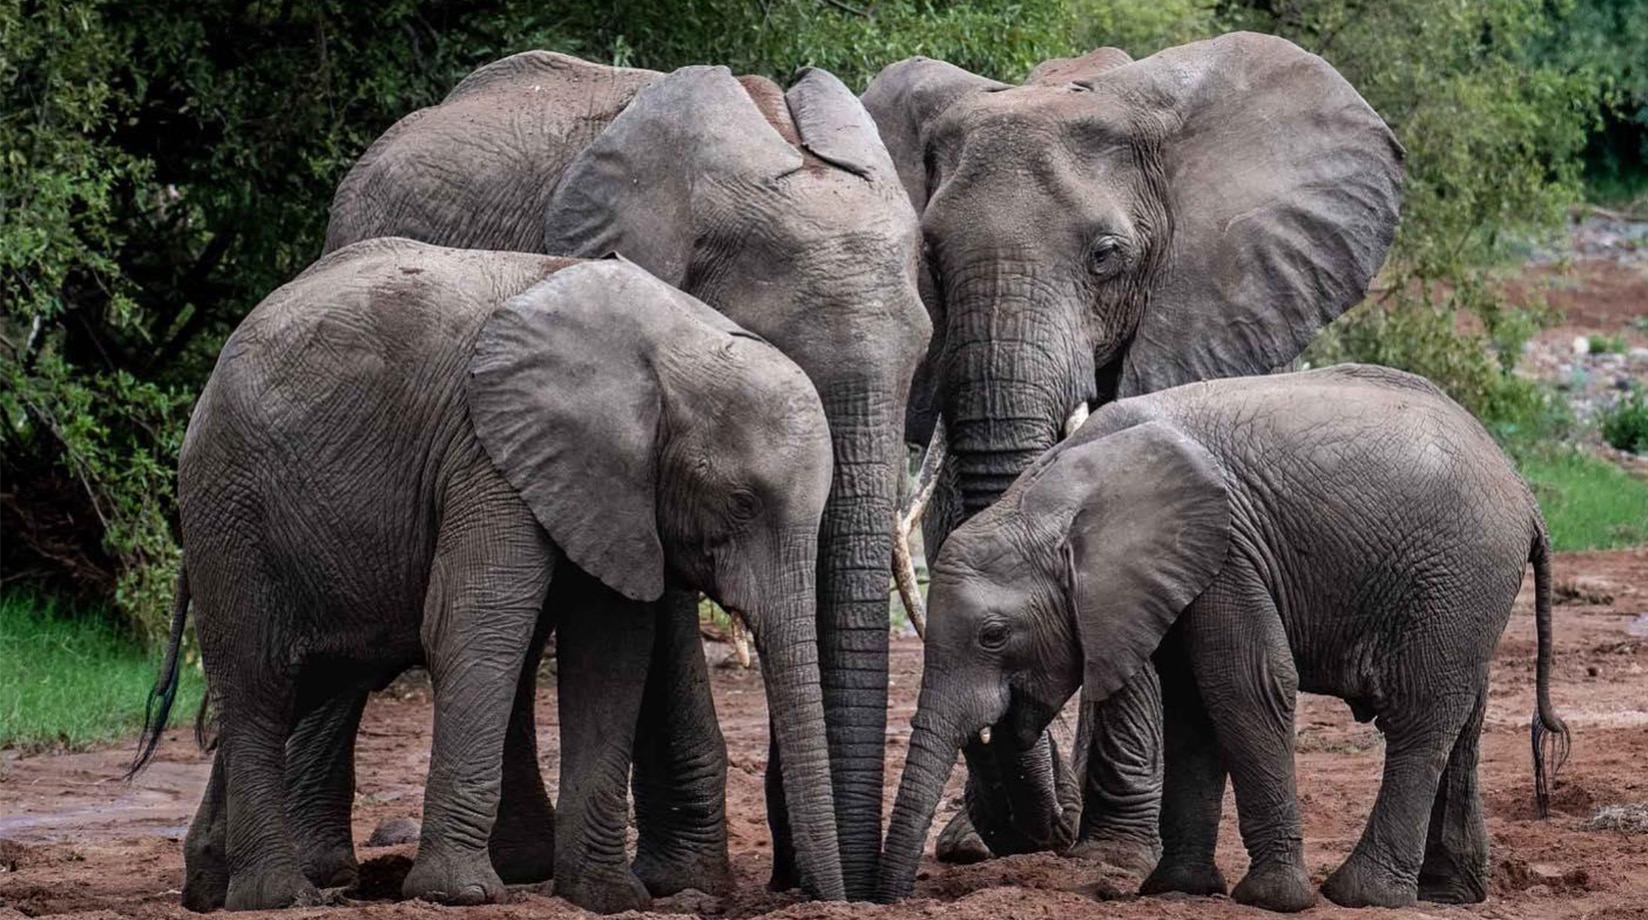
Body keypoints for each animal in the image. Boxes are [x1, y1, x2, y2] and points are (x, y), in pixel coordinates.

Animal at [132, 241, 845, 911]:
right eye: (740, 503)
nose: (823, 899)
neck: (674, 338)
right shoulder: (490, 452)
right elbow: (476, 624)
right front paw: (460, 894)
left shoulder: (606, 485)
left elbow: (610, 654)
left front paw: (607, 898)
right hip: (230, 509)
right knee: (261, 681)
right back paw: (280, 898)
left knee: (311, 681)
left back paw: (209, 888)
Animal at [878, 363, 1569, 911]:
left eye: (994, 635)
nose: (896, 897)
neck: (1056, 492)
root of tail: (1527, 496)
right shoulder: (1173, 574)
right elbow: (1191, 704)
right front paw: (1177, 890)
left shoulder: (1228, 550)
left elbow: (1249, 684)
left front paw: (1272, 901)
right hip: (1466, 590)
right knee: (1463, 720)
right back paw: (1447, 896)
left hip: (1460, 571)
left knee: (1420, 717)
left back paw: (1363, 896)